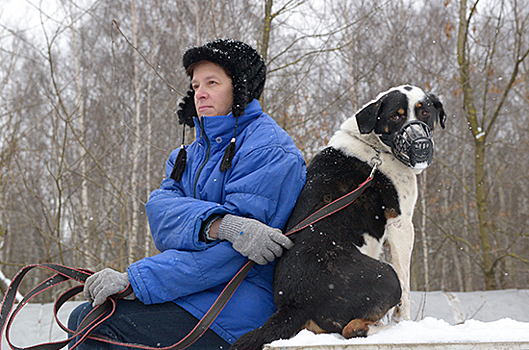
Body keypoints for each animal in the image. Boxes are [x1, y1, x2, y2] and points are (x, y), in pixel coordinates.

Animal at [231, 85, 446, 350]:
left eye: (425, 112)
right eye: (396, 116)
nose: (420, 145)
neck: (376, 147)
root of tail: (294, 304)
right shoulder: (401, 225)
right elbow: (406, 289)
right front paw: (404, 324)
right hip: (386, 275)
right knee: (352, 329)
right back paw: (386, 331)